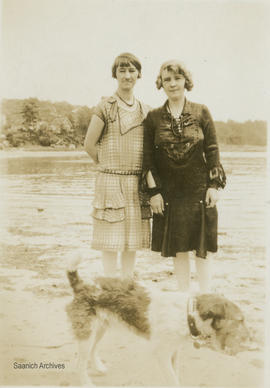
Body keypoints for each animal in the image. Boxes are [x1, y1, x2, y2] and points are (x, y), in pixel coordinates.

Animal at [66, 260, 251, 386]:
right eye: (240, 320)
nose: (249, 339)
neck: (187, 314)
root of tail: (81, 285)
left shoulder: (174, 351)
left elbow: (175, 375)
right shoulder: (161, 353)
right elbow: (173, 380)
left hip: (99, 329)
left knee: (92, 351)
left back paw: (99, 368)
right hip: (87, 333)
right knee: (79, 363)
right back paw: (86, 383)